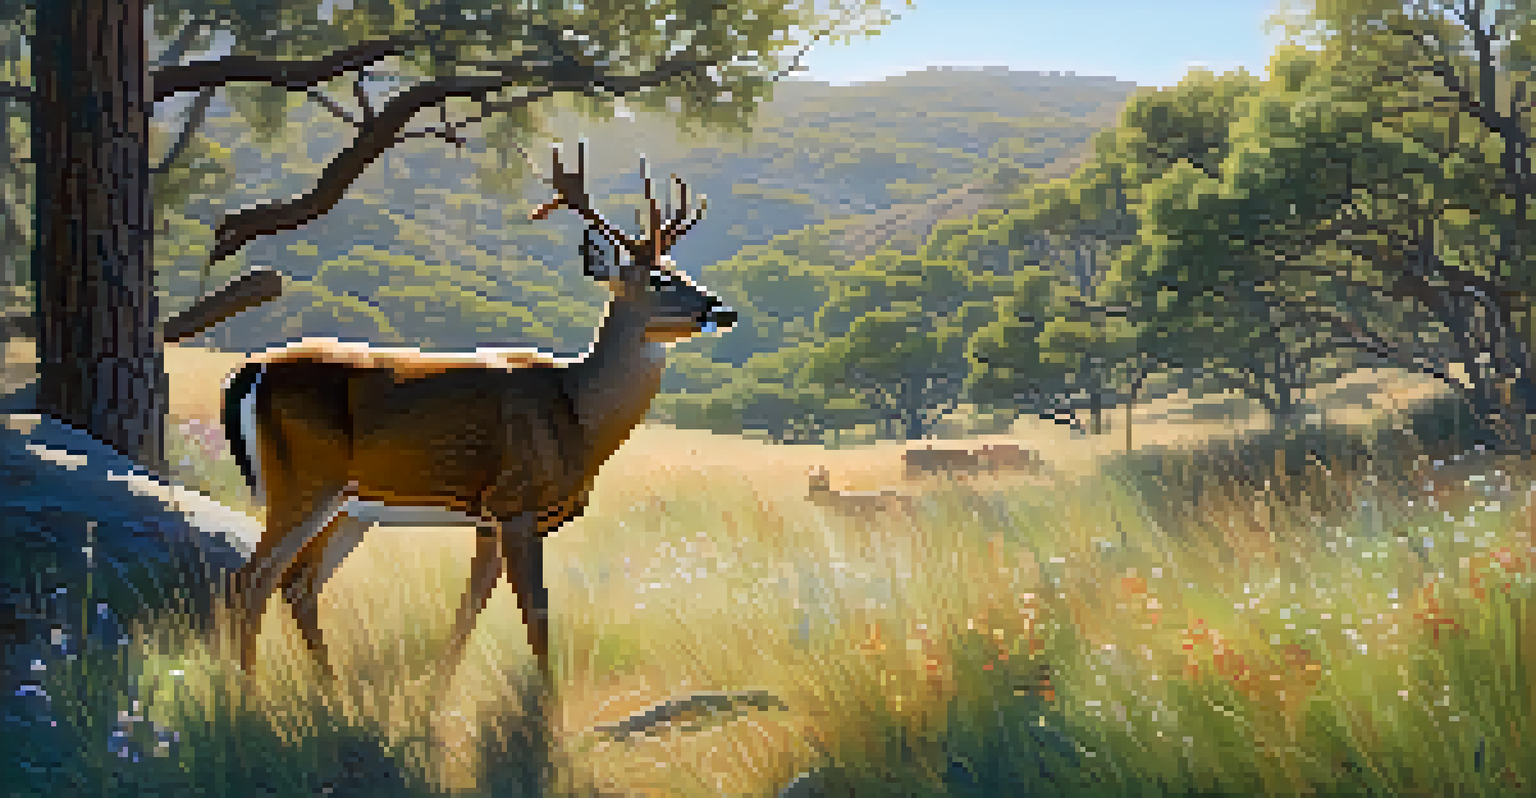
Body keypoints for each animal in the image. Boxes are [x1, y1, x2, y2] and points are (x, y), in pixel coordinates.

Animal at [220, 140, 735, 690]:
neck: (577, 413)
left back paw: (330, 693)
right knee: (252, 577)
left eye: (684, 270)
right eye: (659, 279)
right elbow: (536, 617)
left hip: (351, 507)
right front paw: (546, 702)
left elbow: (468, 613)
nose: (722, 311)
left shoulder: (489, 517)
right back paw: (247, 693)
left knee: (299, 581)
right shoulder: (516, 501)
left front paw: (434, 698)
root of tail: (252, 369)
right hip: (302, 482)